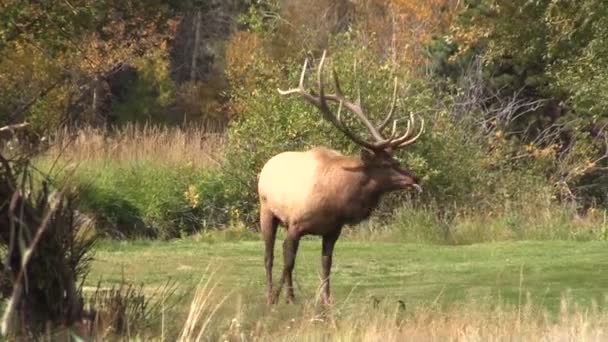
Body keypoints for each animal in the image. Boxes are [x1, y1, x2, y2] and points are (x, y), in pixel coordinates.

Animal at [258, 51, 426, 304]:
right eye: (385, 164)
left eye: (397, 159)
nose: (415, 178)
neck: (337, 201)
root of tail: (266, 166)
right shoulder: (296, 224)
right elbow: (288, 261)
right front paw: (278, 299)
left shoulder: (332, 230)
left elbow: (326, 265)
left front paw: (326, 302)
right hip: (267, 209)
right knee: (269, 256)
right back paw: (272, 295)